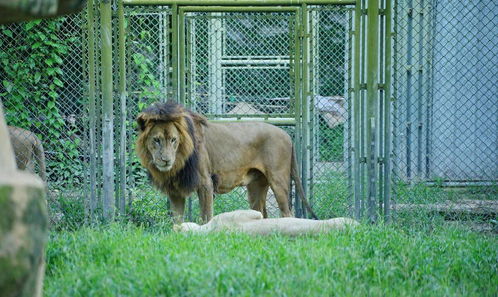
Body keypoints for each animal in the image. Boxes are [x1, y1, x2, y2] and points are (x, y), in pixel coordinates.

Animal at [134, 100, 318, 221]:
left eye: (173, 140)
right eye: (156, 140)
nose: (165, 160)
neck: (179, 162)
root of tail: (287, 135)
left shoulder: (205, 183)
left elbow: (206, 216)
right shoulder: (175, 190)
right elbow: (176, 221)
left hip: (278, 180)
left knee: (287, 213)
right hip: (256, 186)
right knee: (261, 214)